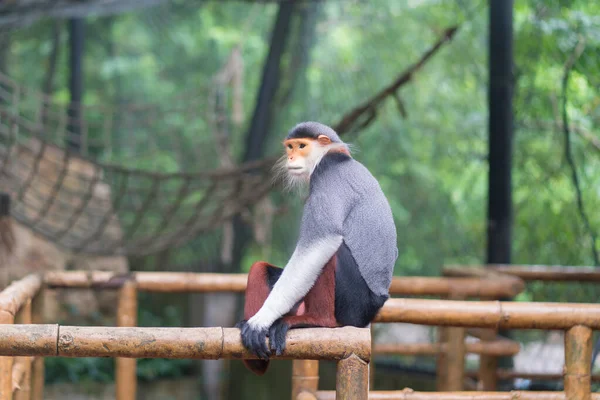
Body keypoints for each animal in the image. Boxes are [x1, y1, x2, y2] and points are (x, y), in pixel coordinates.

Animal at [236, 122, 398, 376]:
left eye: (302, 146)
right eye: (290, 147)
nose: (291, 157)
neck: (336, 156)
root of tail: (378, 302)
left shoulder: (326, 176)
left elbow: (321, 242)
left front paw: (260, 320)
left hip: (354, 305)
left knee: (330, 253)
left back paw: (319, 321)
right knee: (259, 267)